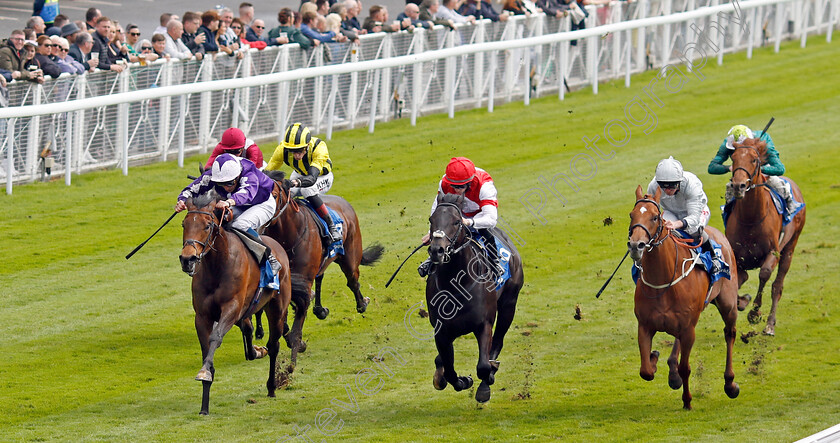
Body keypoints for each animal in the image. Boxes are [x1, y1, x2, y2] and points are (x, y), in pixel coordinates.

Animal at [180, 193, 292, 416]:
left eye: (207, 225)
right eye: (183, 224)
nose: (187, 259)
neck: (217, 266)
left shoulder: (231, 309)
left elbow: (215, 337)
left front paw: (204, 373)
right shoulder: (202, 316)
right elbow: (206, 349)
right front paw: (204, 405)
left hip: (277, 308)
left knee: (273, 345)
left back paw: (271, 387)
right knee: (249, 331)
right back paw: (256, 351)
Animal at [262, 173, 384, 354]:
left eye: (275, 195)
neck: (289, 236)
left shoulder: (303, 280)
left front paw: (296, 341)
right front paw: (293, 339)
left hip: (349, 256)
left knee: (352, 281)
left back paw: (362, 304)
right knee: (321, 278)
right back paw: (320, 310)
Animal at [430, 194, 520, 402]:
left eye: (456, 221)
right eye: (431, 220)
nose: (437, 250)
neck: (456, 284)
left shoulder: (483, 323)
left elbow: (484, 366)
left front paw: (485, 384)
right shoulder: (442, 332)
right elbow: (449, 370)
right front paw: (463, 380)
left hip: (509, 305)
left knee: (498, 341)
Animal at [628, 186, 740, 410]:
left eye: (655, 217)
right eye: (631, 215)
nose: (636, 245)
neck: (663, 281)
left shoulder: (689, 329)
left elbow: (685, 368)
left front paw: (687, 400)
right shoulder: (645, 325)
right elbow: (645, 371)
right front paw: (653, 357)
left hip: (728, 304)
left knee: (729, 334)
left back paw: (730, 383)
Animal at [728, 139, 808, 336]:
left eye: (754, 159)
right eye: (733, 158)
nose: (738, 186)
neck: (750, 219)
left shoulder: (773, 251)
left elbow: (764, 274)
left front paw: (754, 313)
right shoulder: (736, 256)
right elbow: (736, 279)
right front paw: (742, 301)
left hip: (790, 246)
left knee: (777, 286)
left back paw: (770, 324)